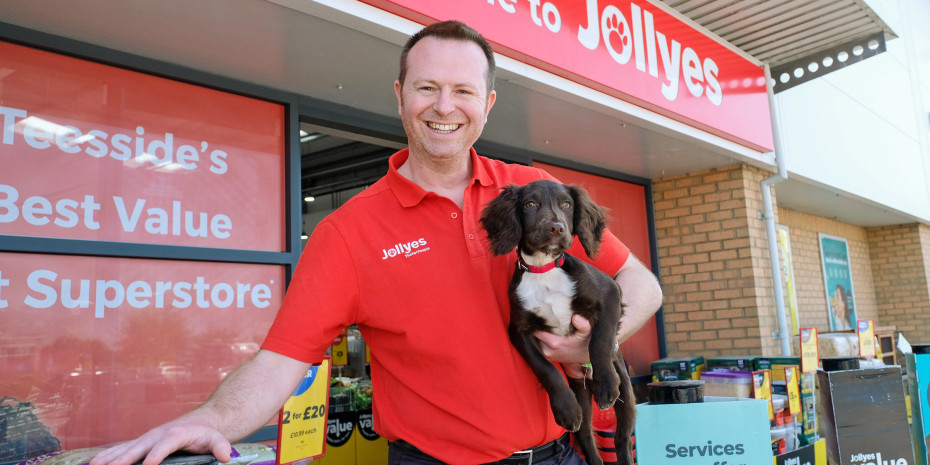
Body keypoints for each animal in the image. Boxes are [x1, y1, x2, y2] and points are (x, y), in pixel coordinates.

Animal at [482, 179, 636, 464]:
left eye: (567, 204)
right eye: (530, 204)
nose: (556, 227)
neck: (544, 271)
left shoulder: (610, 294)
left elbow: (600, 341)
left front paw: (606, 385)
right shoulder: (519, 330)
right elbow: (547, 369)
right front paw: (566, 409)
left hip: (626, 392)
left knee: (622, 438)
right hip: (582, 396)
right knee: (588, 439)